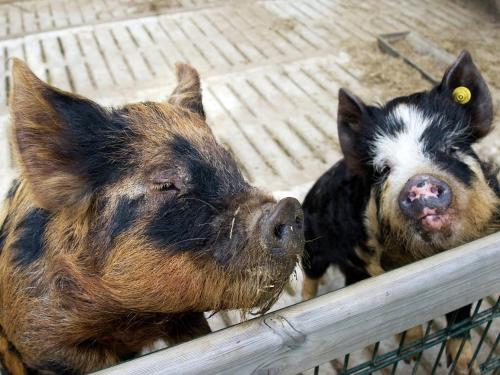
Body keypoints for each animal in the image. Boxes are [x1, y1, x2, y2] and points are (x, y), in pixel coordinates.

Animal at [298, 50, 498, 375]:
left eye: (452, 148)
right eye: (383, 169)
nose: (419, 183)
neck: (431, 255)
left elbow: (460, 318)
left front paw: (469, 368)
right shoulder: (375, 264)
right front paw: (411, 356)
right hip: (313, 246)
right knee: (311, 278)